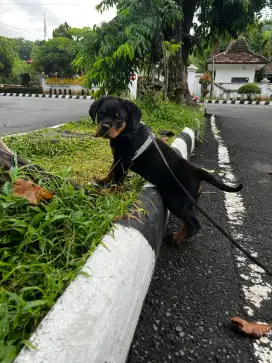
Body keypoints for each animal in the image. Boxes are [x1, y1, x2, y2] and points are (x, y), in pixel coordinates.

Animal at [90, 96, 242, 245]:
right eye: (101, 113)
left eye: (119, 118)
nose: (104, 127)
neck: (128, 131)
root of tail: (197, 172)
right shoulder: (117, 159)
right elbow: (111, 172)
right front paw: (102, 182)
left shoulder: (123, 162)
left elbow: (117, 180)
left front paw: (107, 193)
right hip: (188, 201)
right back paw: (180, 236)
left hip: (176, 200)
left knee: (195, 222)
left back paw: (177, 238)